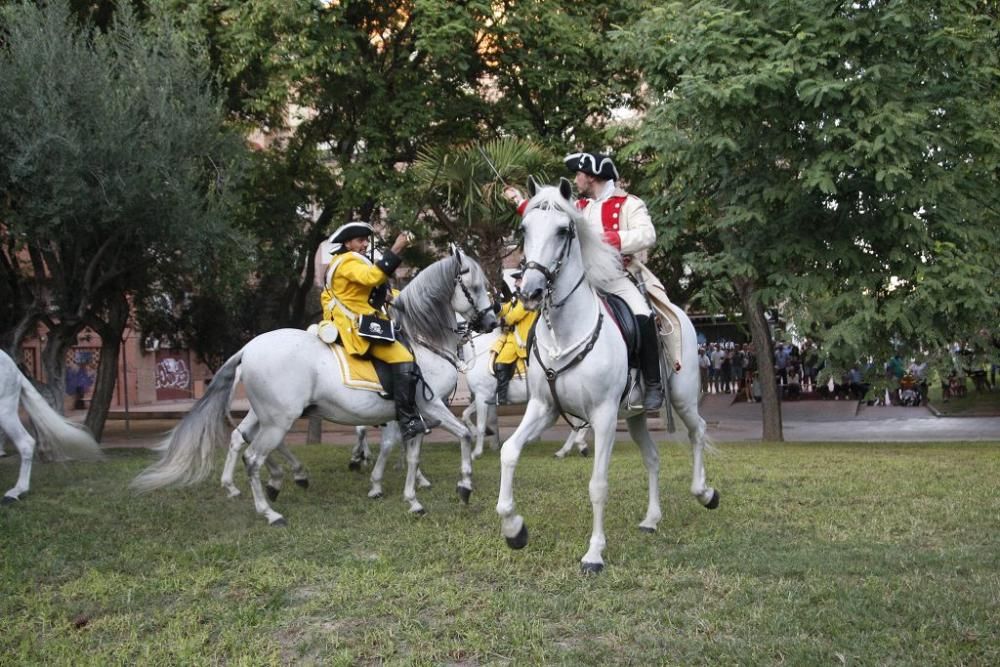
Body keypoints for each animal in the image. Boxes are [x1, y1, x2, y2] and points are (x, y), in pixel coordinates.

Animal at [133, 248, 500, 524]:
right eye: (475, 287)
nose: (491, 320)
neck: (424, 342)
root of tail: (249, 348)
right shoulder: (428, 405)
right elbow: (463, 434)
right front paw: (464, 484)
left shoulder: (413, 415)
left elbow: (411, 454)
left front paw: (411, 498)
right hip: (280, 418)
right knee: (252, 455)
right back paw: (270, 510)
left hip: (266, 415)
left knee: (242, 439)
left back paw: (272, 481)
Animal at [460, 328, 592, 460]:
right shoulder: (485, 396)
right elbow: (465, 414)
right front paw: (476, 433)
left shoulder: (482, 395)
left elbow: (481, 424)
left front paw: (476, 452)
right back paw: (568, 449)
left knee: (579, 422)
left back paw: (573, 447)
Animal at [494, 179, 716, 576]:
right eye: (524, 229)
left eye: (563, 231)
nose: (531, 291)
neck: (566, 330)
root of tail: (678, 314)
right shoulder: (543, 408)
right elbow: (509, 452)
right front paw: (514, 529)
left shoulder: (604, 416)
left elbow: (598, 484)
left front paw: (594, 553)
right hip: (638, 415)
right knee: (653, 458)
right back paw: (652, 519)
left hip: (682, 398)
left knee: (698, 432)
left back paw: (705, 492)